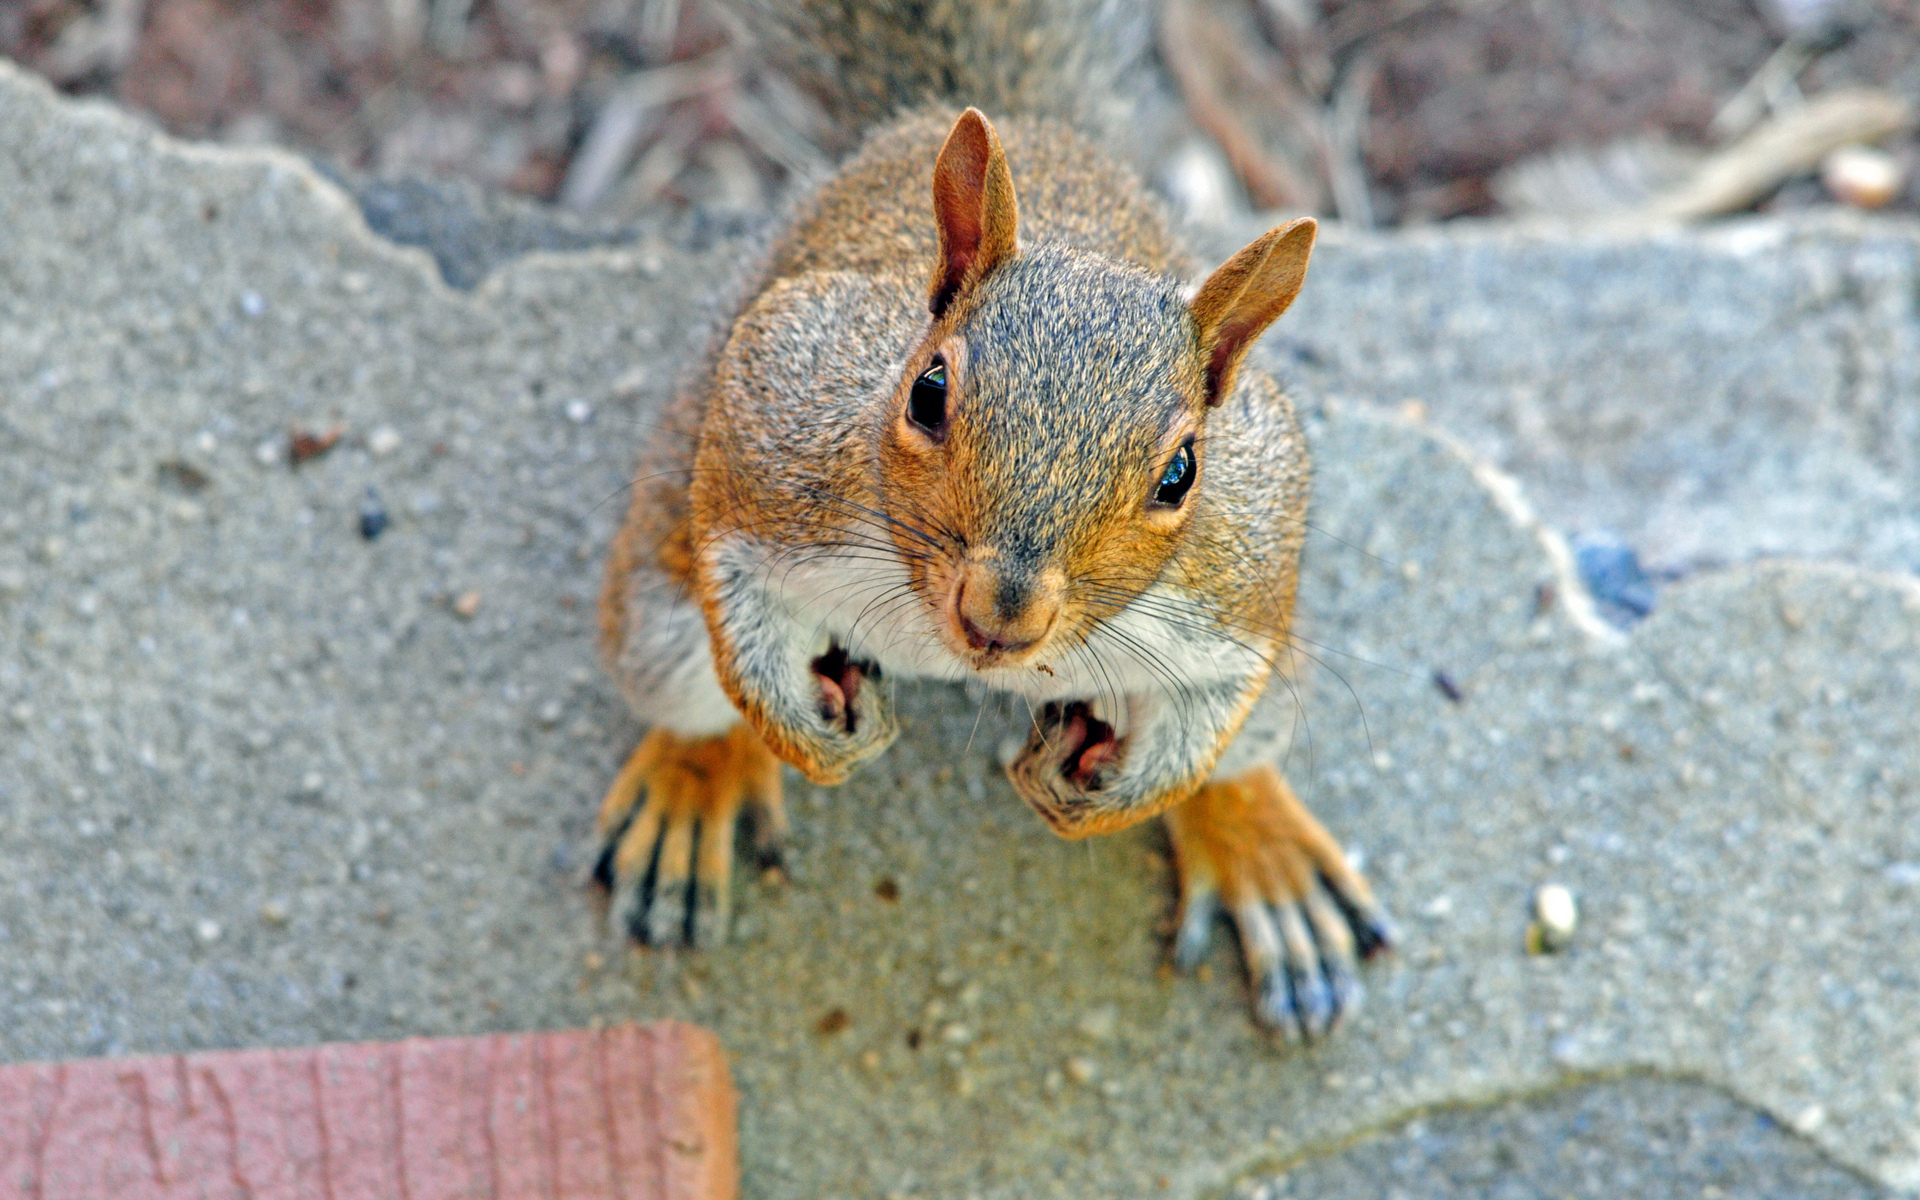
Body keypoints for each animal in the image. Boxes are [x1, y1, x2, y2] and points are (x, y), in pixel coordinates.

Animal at [591, 91, 1390, 1036]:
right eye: (927, 392)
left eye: (1182, 473)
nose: (999, 617)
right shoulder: (775, 416)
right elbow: (735, 588)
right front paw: (801, 731)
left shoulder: (1238, 575)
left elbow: (1213, 705)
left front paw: (1118, 798)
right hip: (660, 604)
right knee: (684, 682)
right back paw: (694, 780)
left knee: (1245, 752)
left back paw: (1263, 851)